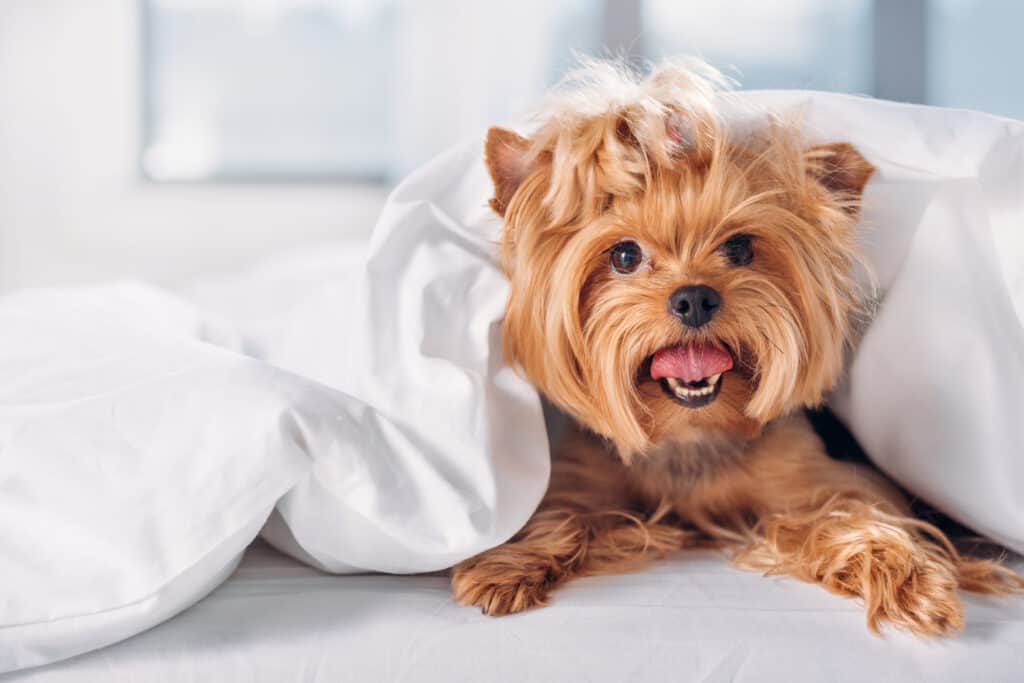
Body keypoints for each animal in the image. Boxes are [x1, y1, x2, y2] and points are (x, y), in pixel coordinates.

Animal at [450, 60, 1024, 634]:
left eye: (741, 247)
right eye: (624, 255)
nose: (694, 298)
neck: (692, 437)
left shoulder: (818, 479)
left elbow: (852, 511)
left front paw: (905, 573)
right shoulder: (582, 478)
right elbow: (557, 512)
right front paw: (506, 564)